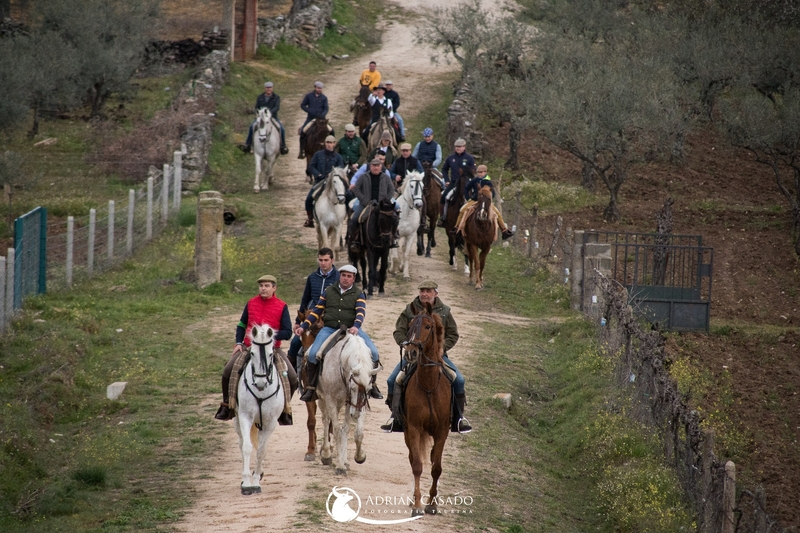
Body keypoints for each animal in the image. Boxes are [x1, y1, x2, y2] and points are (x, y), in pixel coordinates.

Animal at [234, 324, 283, 495]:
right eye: (252, 353)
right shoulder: (245, 417)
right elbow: (247, 447)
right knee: (242, 442)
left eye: (270, 354)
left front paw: (255, 481)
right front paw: (247, 484)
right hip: (237, 420)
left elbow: (262, 450)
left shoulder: (270, 423)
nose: (261, 383)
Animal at [317, 331, 379, 475]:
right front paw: (340, 466)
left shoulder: (352, 404)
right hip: (323, 400)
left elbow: (355, 432)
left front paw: (359, 457)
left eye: (369, 389)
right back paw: (326, 454)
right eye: (354, 388)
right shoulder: (331, 400)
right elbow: (337, 431)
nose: (355, 414)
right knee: (326, 421)